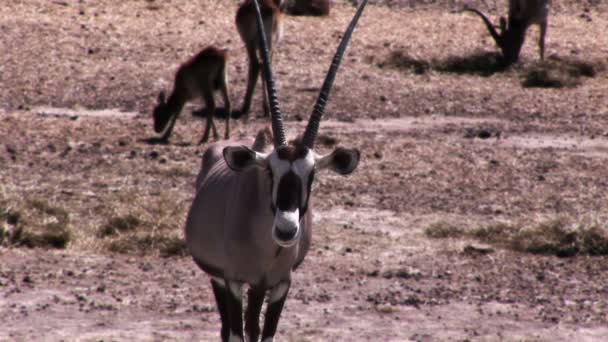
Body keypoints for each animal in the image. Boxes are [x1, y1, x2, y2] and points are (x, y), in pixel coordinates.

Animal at [183, 1, 368, 340]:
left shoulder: (280, 285)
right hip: (219, 279)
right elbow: (237, 333)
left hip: (258, 288)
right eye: (270, 171)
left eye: (312, 175)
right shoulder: (233, 281)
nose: (285, 230)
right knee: (228, 329)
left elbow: (265, 333)